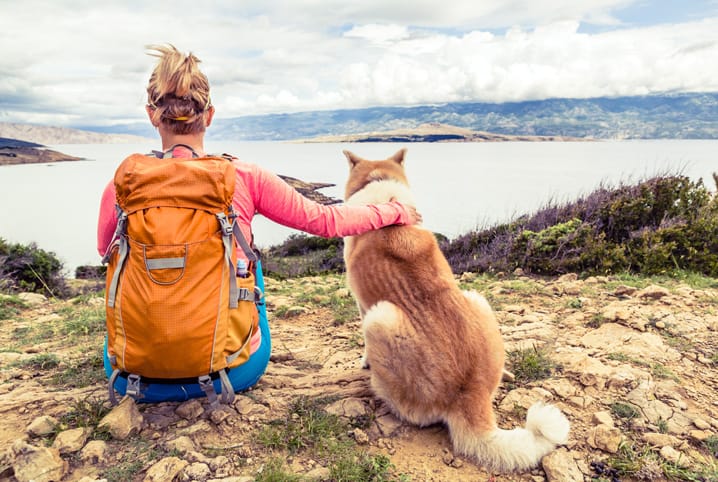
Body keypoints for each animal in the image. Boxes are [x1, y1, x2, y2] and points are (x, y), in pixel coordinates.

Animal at [344, 149, 572, 472]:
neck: (382, 190)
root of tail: (468, 393)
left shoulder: (363, 306)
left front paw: (363, 362)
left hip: (380, 317)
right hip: (477, 299)